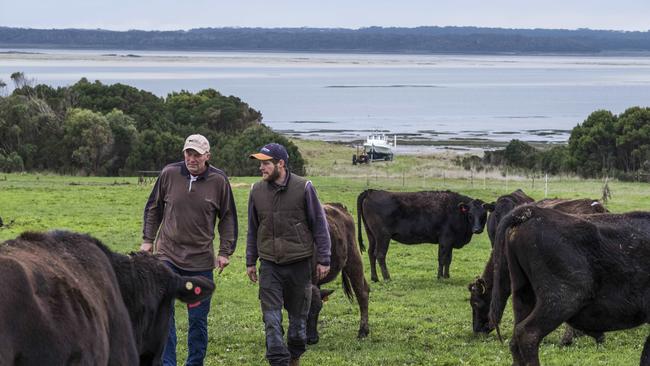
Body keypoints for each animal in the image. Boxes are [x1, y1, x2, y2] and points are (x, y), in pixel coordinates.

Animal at [308, 203, 370, 344]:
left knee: (362, 293)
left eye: (318, 309)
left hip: (353, 260)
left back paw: (363, 331)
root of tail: (339, 206)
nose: (312, 339)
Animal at [356, 189, 488, 280]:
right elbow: (442, 258)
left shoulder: (450, 242)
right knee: (380, 255)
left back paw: (375, 278)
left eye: (484, 215)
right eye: (470, 215)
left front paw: (447, 276)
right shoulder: (445, 239)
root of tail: (371, 191)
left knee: (371, 253)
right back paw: (387, 277)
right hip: (383, 236)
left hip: (371, 235)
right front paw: (440, 277)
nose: (477, 229)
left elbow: (448, 259)